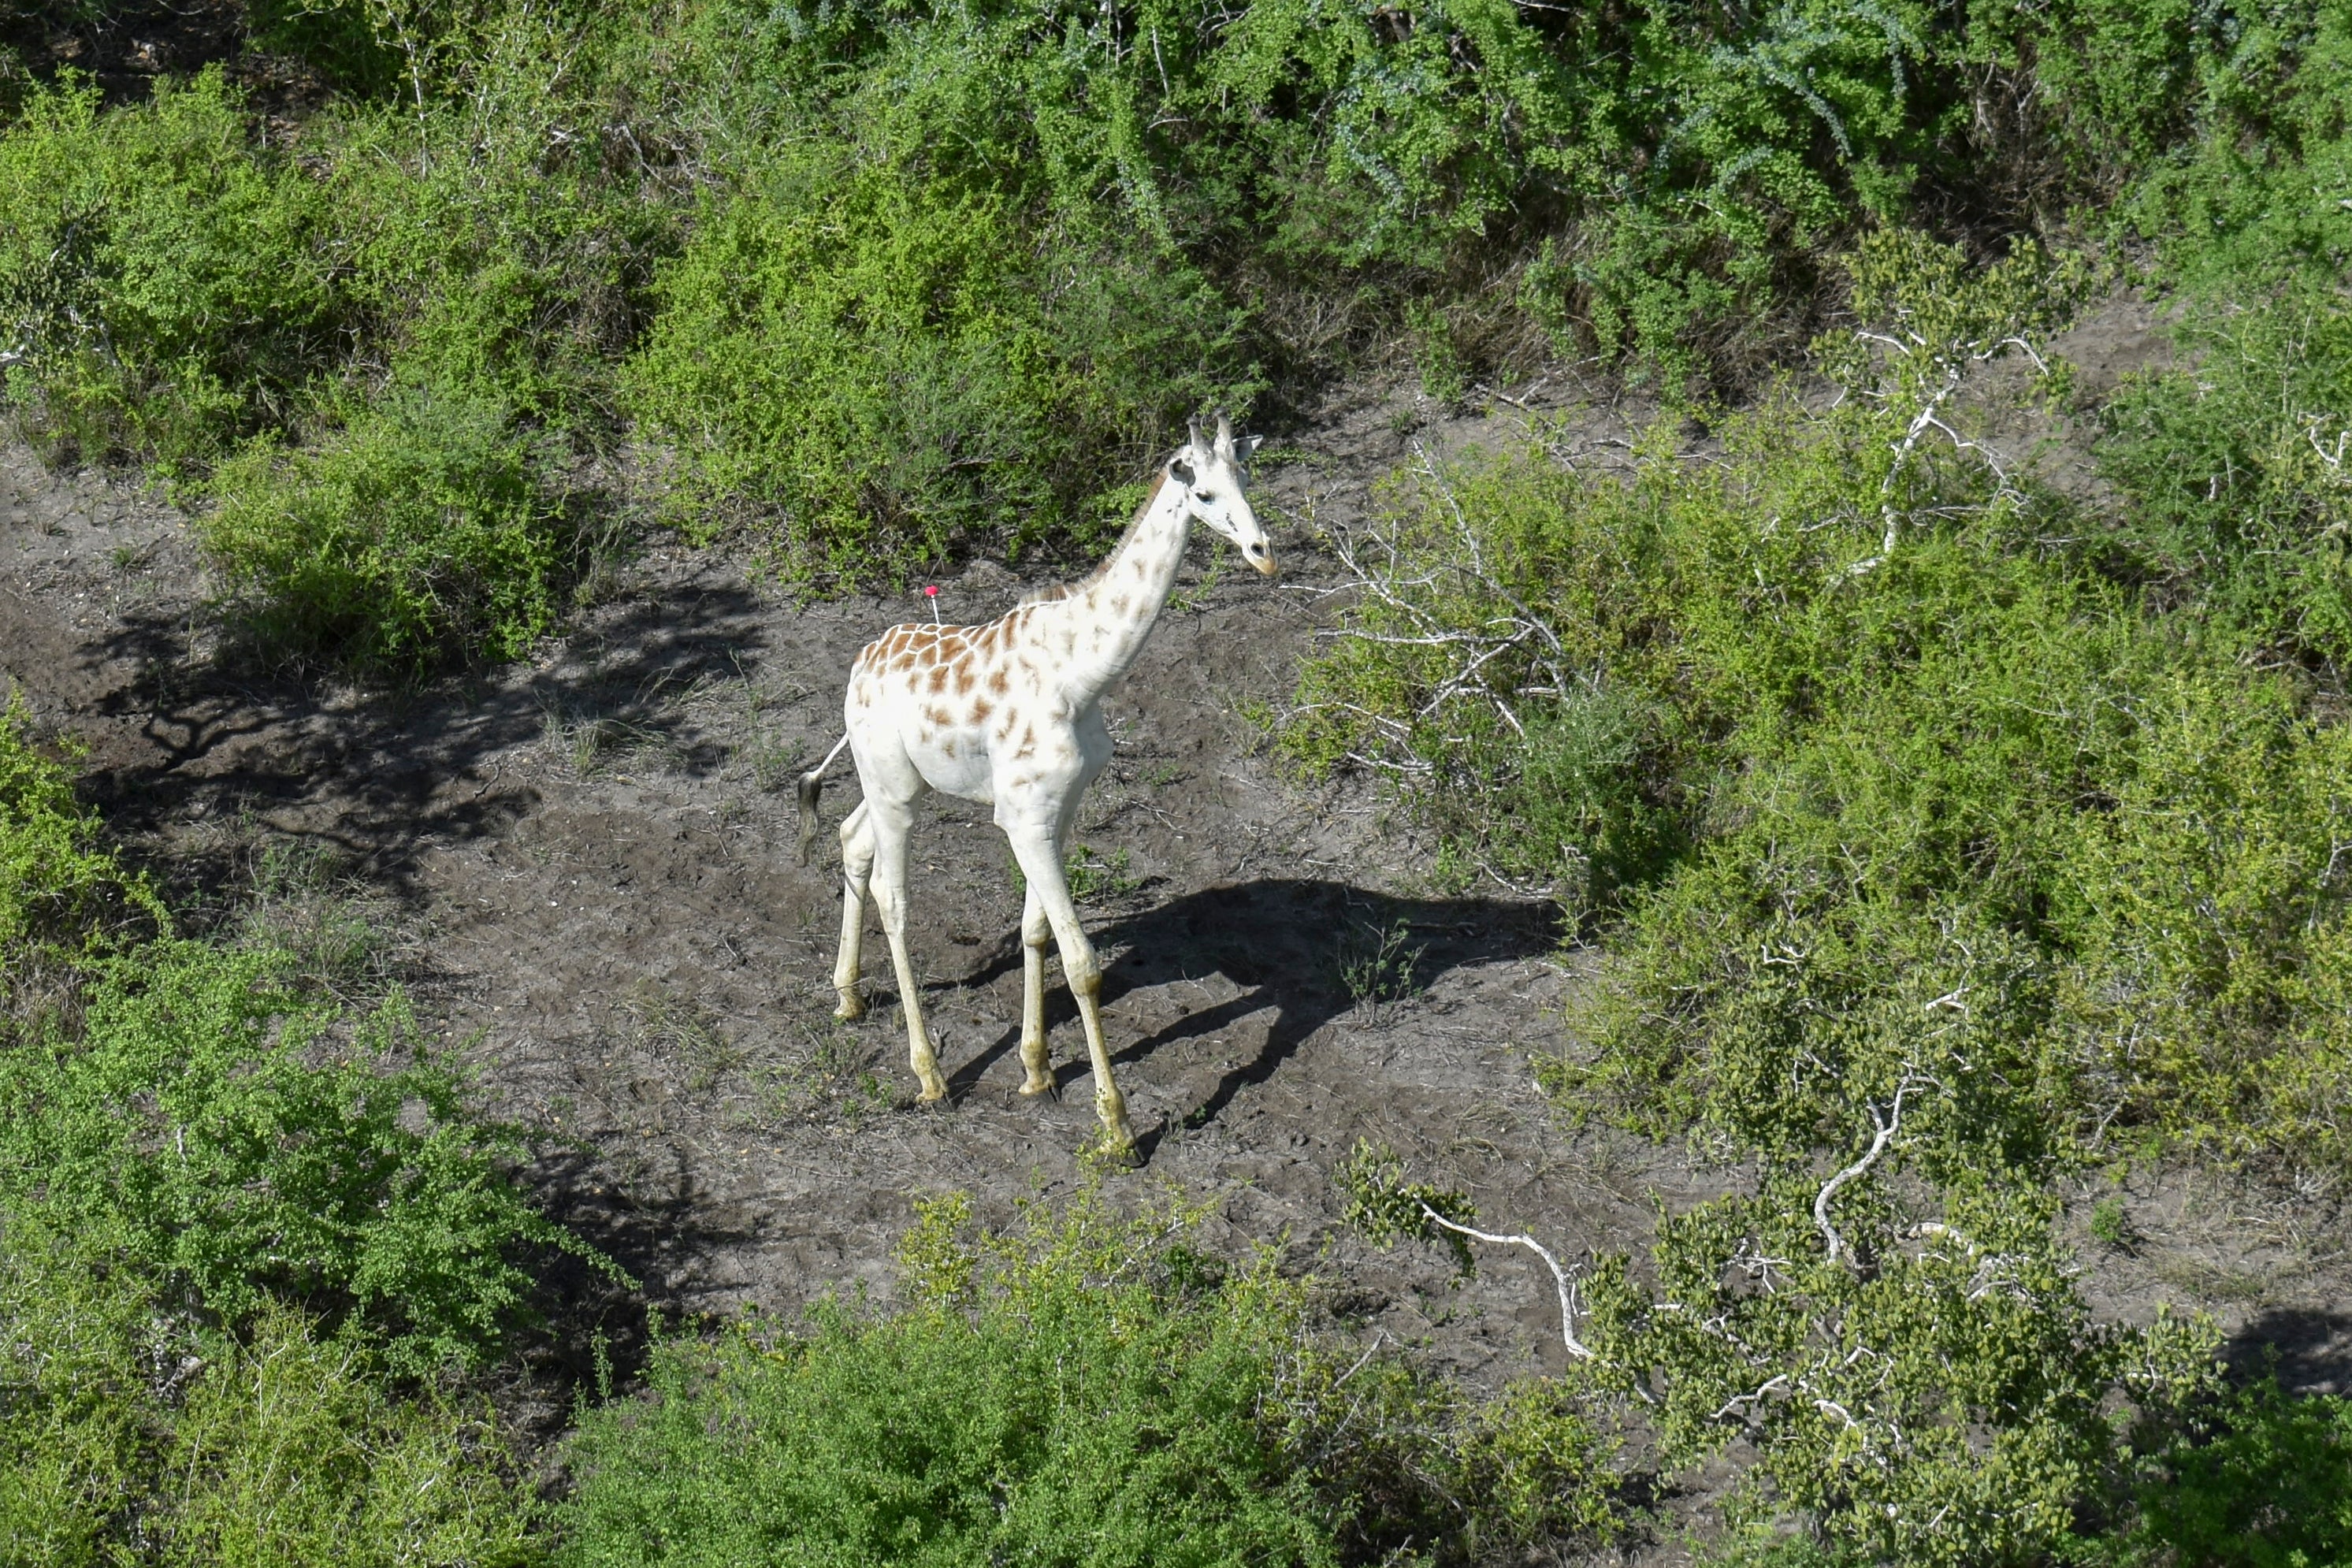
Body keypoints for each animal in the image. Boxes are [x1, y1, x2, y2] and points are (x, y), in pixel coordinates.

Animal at [795, 414, 1274, 1160]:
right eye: (1200, 491)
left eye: (1246, 476)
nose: (1262, 552)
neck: (1083, 674)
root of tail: (857, 666)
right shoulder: (1023, 816)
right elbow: (1082, 963)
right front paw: (1117, 1128)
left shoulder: (1058, 810)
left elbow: (1035, 931)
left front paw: (1037, 1070)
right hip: (893, 789)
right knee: (894, 898)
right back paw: (929, 1076)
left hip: (898, 782)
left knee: (851, 838)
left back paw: (846, 996)